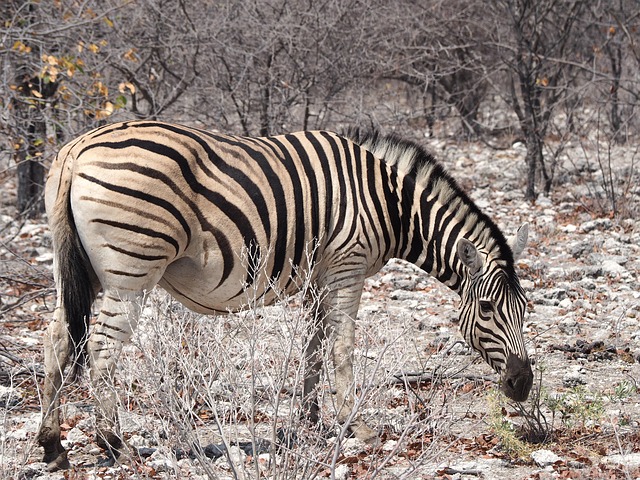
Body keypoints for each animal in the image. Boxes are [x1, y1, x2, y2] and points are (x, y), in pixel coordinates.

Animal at [38, 121, 532, 470]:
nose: (523, 385)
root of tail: (76, 149)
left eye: (525, 310)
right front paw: (358, 425)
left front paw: (310, 421)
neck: (390, 205)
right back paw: (115, 445)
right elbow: (343, 346)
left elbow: (314, 345)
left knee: (56, 341)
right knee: (101, 351)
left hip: (81, 271)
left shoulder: (319, 274)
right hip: (131, 270)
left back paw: (53, 445)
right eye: (487, 308)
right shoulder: (348, 267)